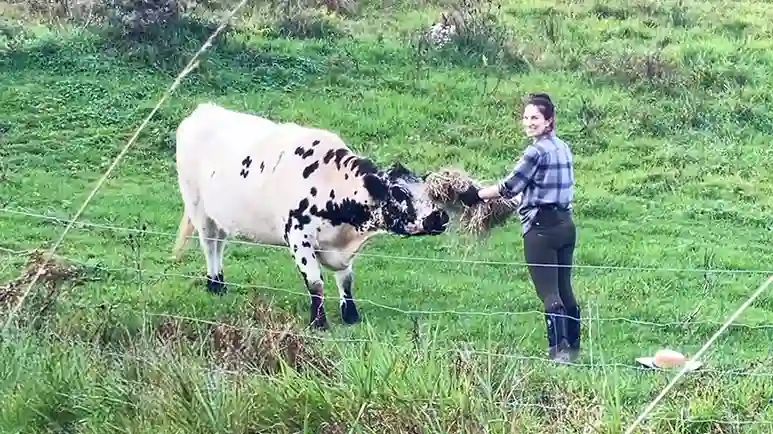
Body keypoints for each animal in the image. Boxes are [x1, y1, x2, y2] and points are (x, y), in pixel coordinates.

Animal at [172, 102, 450, 330]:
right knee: (209, 245)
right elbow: (316, 283)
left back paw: (219, 283)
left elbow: (346, 280)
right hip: (198, 207)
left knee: (219, 244)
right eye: (400, 192)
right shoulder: (299, 238)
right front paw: (319, 323)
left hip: (220, 216)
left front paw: (351, 316)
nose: (440, 217)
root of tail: (204, 110)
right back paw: (214, 284)